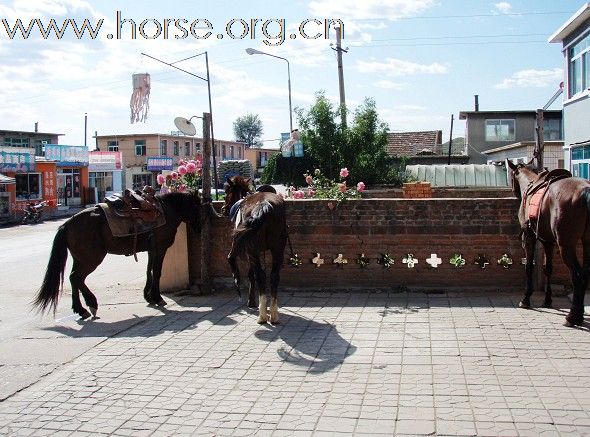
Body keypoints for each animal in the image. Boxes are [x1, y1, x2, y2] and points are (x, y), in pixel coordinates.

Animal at [34, 192, 201, 318]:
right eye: (198, 207)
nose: (199, 229)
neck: (166, 210)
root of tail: (67, 224)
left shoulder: (151, 249)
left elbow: (149, 270)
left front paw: (148, 296)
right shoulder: (160, 247)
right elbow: (157, 271)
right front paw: (157, 297)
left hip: (79, 258)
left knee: (74, 278)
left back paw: (81, 309)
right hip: (91, 259)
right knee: (77, 277)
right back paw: (90, 304)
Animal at [508, 158, 590, 326]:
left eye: (511, 176)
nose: (514, 192)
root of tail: (586, 192)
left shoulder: (529, 236)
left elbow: (529, 266)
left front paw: (526, 299)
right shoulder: (548, 241)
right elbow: (548, 268)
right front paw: (547, 299)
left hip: (566, 243)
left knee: (577, 275)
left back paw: (572, 316)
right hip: (587, 240)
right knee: (586, 273)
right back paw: (578, 314)